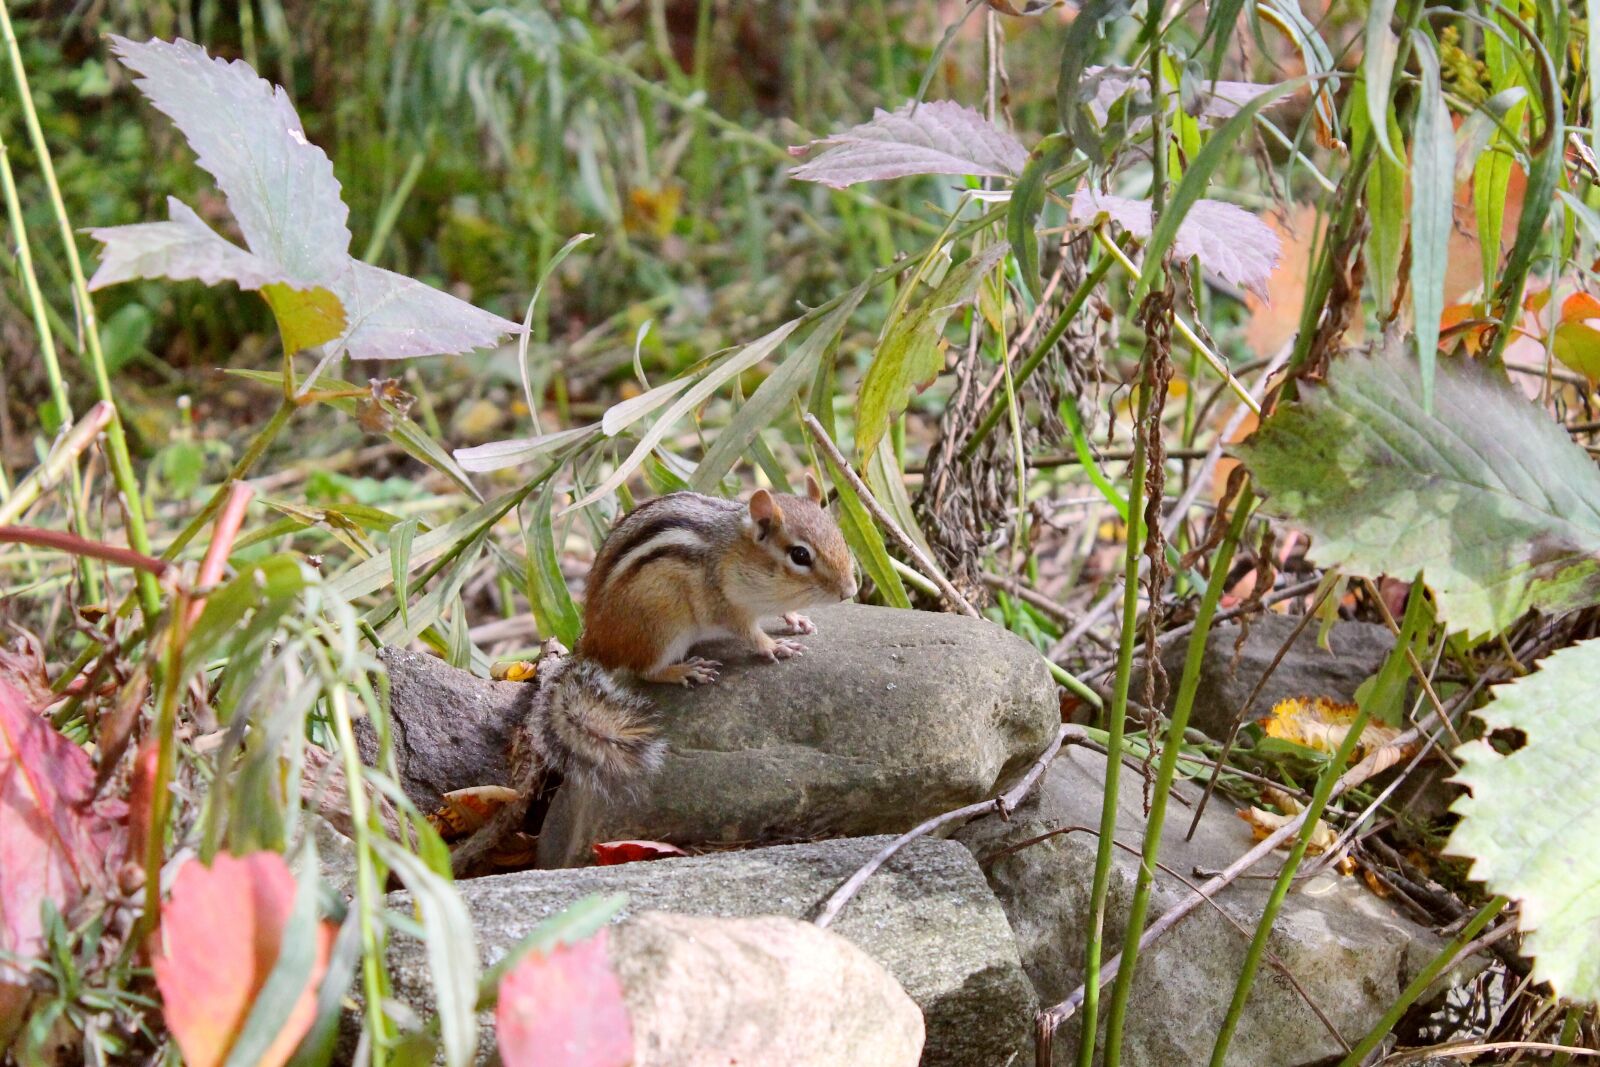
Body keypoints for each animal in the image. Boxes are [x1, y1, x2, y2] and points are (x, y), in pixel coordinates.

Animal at [450, 474, 858, 875]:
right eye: (800, 555)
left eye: (839, 535)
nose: (851, 590)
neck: (737, 551)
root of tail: (596, 643)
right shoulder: (724, 603)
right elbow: (748, 633)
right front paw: (773, 646)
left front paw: (797, 620)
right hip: (665, 621)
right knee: (644, 670)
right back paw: (684, 670)